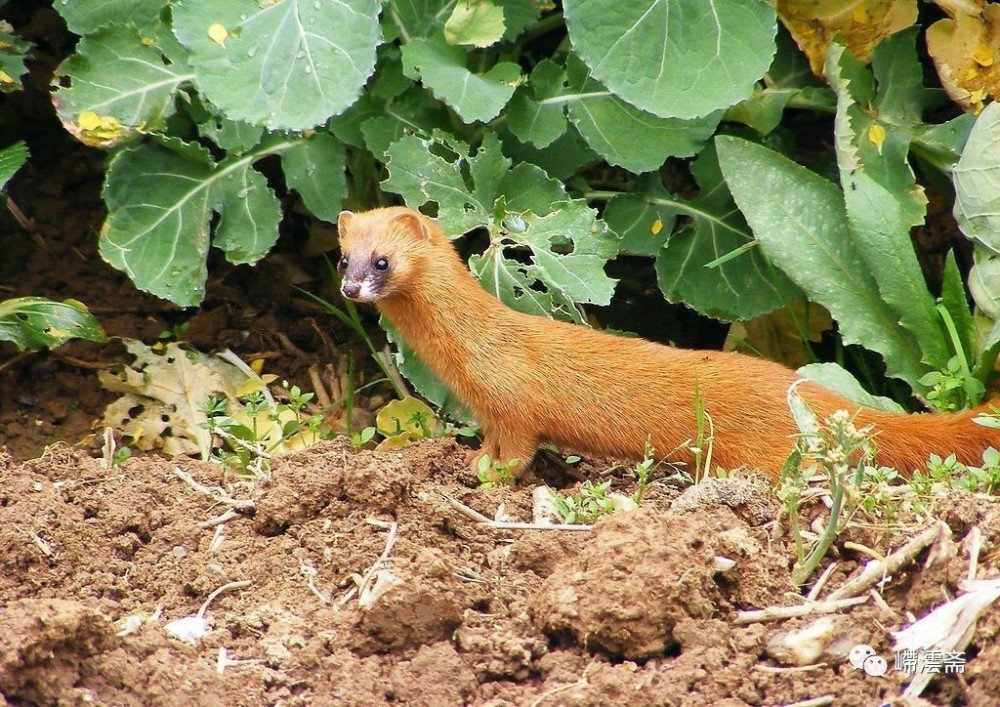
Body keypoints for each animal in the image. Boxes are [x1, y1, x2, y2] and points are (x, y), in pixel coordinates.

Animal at [338, 206, 1000, 482]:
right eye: (345, 256)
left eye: (382, 259)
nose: (349, 286)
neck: (471, 355)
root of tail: (809, 390)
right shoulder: (490, 411)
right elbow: (495, 441)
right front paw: (475, 461)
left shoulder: (514, 405)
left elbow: (519, 449)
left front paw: (491, 475)